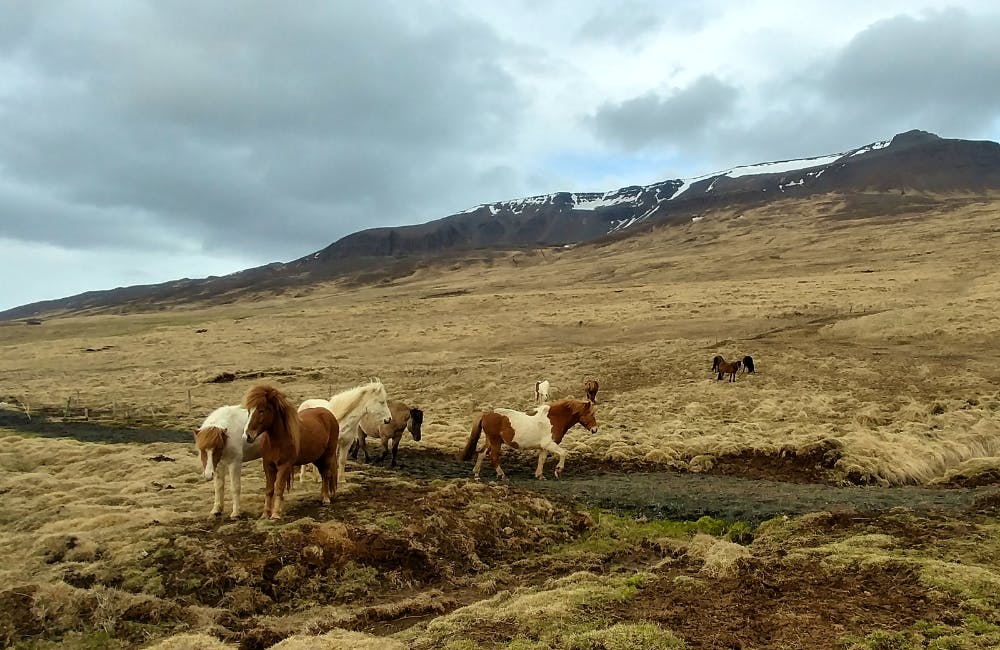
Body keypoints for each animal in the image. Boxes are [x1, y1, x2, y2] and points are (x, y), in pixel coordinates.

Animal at [241, 384, 340, 516]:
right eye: (249, 411)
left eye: (261, 410)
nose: (247, 436)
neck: (277, 441)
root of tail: (329, 414)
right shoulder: (268, 466)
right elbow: (269, 490)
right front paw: (265, 513)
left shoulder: (284, 466)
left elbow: (278, 488)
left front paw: (275, 514)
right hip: (317, 457)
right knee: (323, 473)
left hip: (327, 455)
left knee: (326, 474)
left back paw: (325, 498)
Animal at [458, 398, 596, 478]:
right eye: (591, 413)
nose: (595, 429)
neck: (554, 418)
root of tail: (486, 414)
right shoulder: (549, 444)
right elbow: (563, 453)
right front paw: (558, 470)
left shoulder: (543, 447)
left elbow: (541, 460)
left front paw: (540, 475)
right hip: (495, 441)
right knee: (494, 457)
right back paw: (502, 475)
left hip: (490, 441)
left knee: (481, 453)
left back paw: (476, 474)